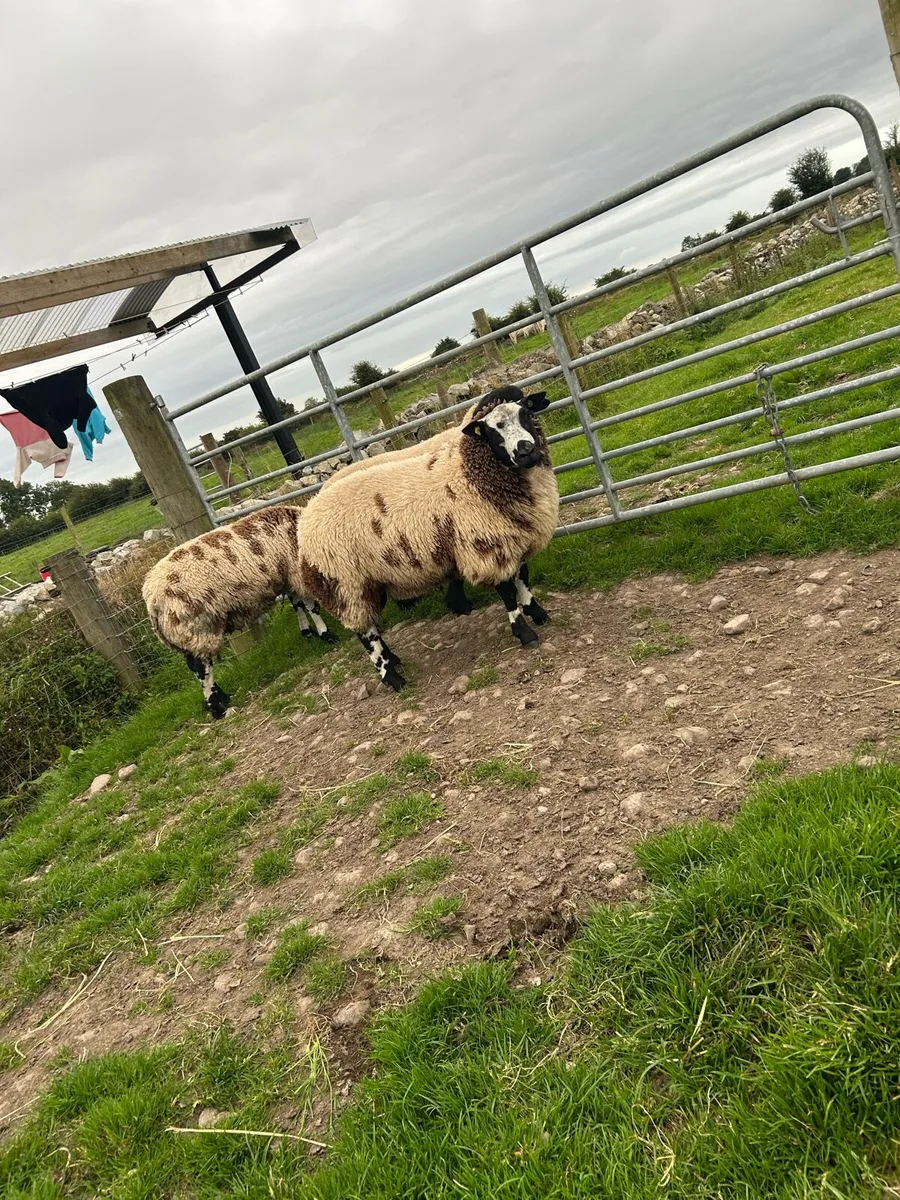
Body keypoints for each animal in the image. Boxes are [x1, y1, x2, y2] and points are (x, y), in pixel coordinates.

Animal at [142, 505, 333, 718]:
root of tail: (151, 600)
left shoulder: (288, 577)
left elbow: (297, 605)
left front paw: (307, 632)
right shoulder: (296, 572)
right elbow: (311, 606)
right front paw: (326, 635)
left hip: (185, 635)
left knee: (195, 668)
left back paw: (223, 699)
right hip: (197, 628)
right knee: (202, 669)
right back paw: (218, 709)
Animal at [296, 384, 558, 691]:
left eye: (526, 413)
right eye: (492, 431)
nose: (525, 450)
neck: (469, 471)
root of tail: (306, 518)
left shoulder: (511, 537)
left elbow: (522, 578)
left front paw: (537, 612)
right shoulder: (485, 544)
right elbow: (507, 591)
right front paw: (524, 632)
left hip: (367, 582)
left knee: (372, 625)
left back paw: (395, 660)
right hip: (346, 583)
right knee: (366, 634)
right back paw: (392, 677)